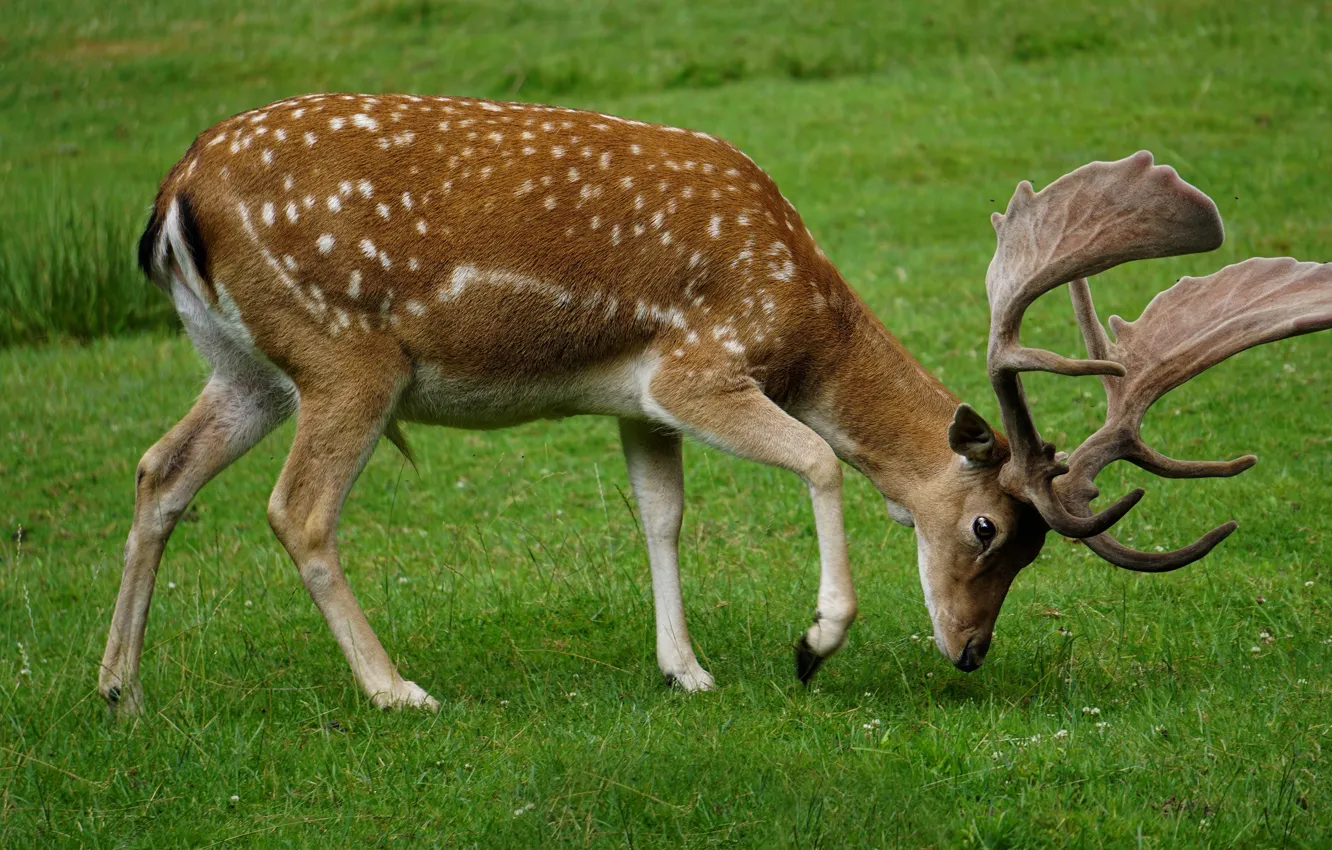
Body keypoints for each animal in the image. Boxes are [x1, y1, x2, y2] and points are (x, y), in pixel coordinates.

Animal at [99, 91, 1332, 714]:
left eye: (1029, 550)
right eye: (989, 528)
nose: (972, 651)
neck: (806, 323)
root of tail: (172, 196)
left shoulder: (636, 398)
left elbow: (661, 513)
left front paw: (684, 668)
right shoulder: (697, 366)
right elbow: (823, 460)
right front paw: (814, 639)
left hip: (246, 364)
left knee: (159, 468)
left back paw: (118, 686)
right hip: (348, 355)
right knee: (298, 510)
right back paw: (395, 687)